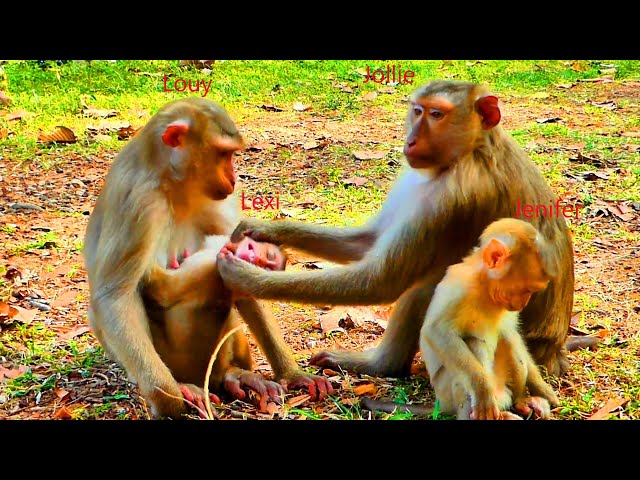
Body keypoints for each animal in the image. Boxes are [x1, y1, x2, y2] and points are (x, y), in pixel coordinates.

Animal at [219, 79, 576, 378]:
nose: (412, 139)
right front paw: (264, 229)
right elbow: (366, 243)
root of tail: (552, 349)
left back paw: (382, 365)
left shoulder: (457, 195)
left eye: (437, 114)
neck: (471, 150)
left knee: (429, 285)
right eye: (417, 110)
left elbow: (383, 280)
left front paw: (247, 278)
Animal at [418, 218, 556, 420]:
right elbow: (437, 331)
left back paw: (522, 402)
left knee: (508, 339)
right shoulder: (460, 288)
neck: (485, 286)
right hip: (448, 395)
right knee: (474, 342)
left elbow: (512, 331)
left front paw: (541, 388)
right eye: (527, 290)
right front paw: (481, 390)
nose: (523, 304)